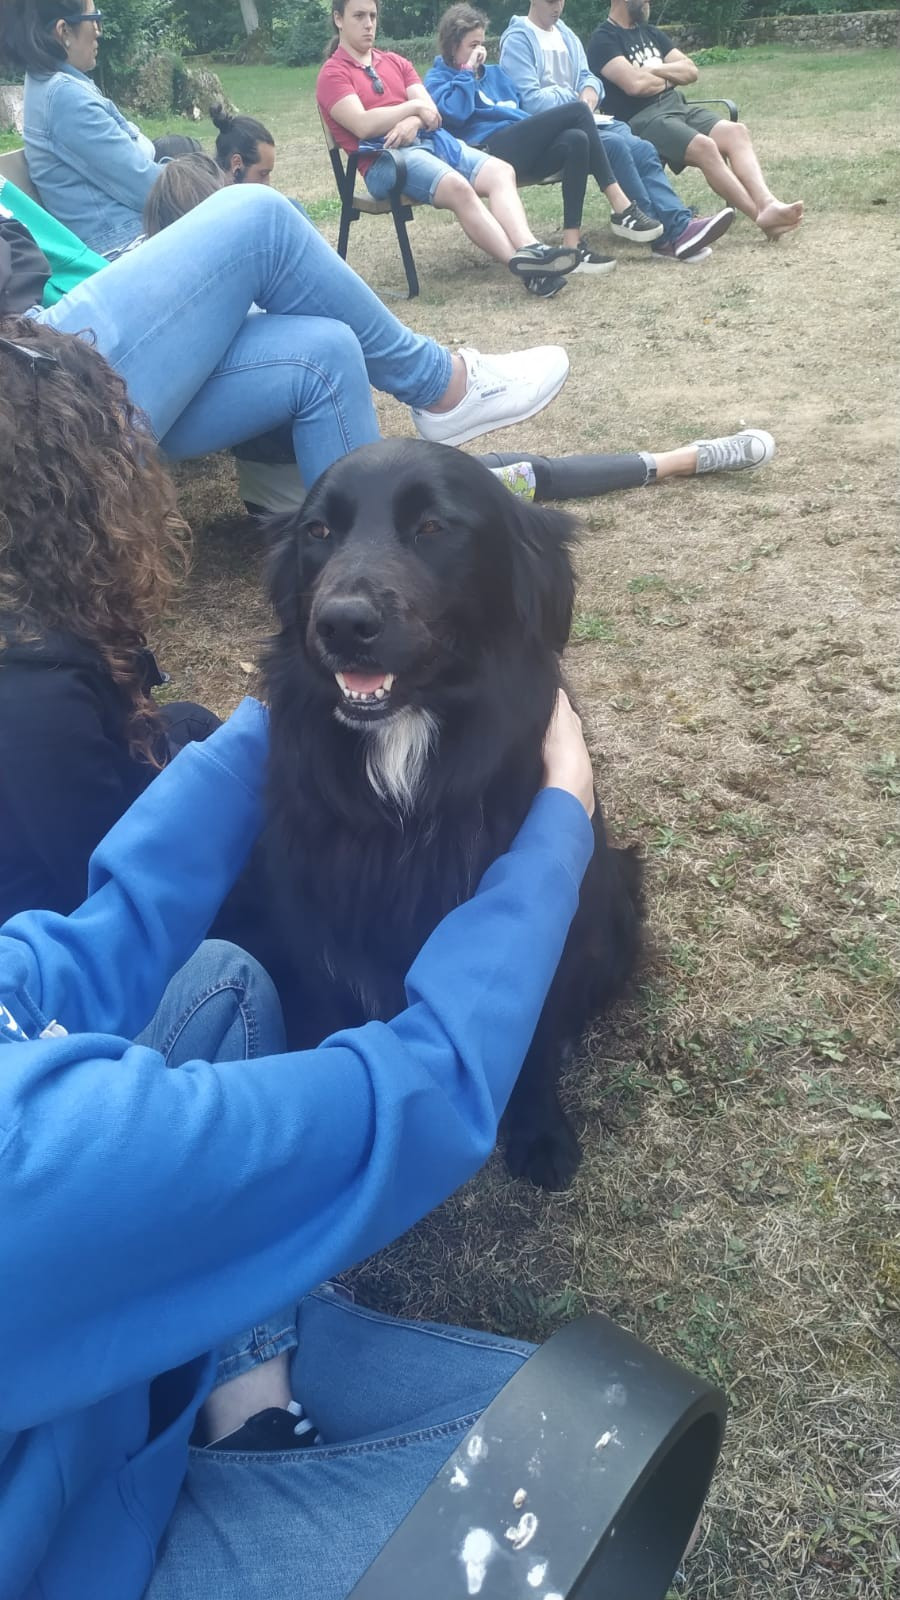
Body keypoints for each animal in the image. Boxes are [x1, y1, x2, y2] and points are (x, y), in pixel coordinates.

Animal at [259, 438, 637, 1190]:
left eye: (433, 527)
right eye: (319, 531)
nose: (340, 624)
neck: (406, 745)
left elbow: (535, 1028)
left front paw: (540, 1131)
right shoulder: (321, 926)